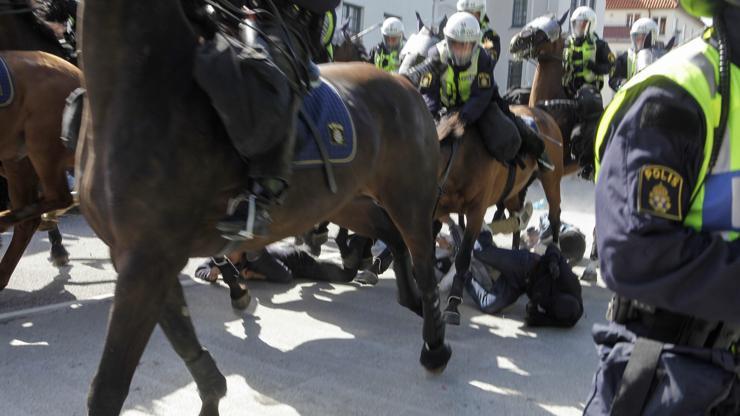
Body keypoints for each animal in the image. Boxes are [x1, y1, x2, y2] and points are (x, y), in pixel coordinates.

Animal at [79, 1, 450, 414]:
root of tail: (405, 86)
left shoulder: (147, 261)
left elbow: (109, 387)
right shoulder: (139, 259)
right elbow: (184, 341)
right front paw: (213, 392)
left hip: (409, 199)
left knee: (423, 262)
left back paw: (433, 345)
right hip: (349, 202)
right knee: (392, 240)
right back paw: (401, 295)